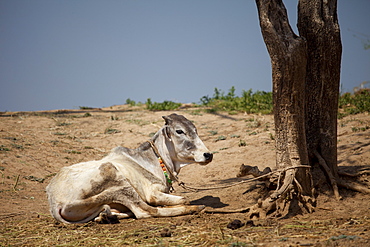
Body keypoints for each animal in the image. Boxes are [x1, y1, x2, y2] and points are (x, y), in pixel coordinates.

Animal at [46, 114, 212, 224]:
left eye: (195, 130)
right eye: (179, 131)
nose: (208, 154)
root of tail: (54, 201)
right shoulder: (152, 193)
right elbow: (184, 199)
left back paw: (106, 216)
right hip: (116, 178)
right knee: (145, 211)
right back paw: (196, 207)